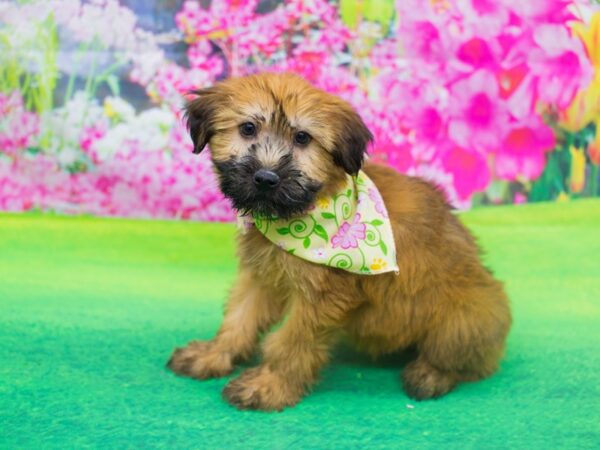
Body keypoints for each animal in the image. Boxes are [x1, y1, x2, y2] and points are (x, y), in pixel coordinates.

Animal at [168, 73, 510, 412]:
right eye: (248, 128)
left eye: (302, 138)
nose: (265, 178)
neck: (301, 214)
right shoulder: (261, 276)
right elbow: (239, 319)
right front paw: (212, 355)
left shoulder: (321, 297)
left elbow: (292, 342)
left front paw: (270, 385)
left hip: (466, 317)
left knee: (462, 360)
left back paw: (431, 375)